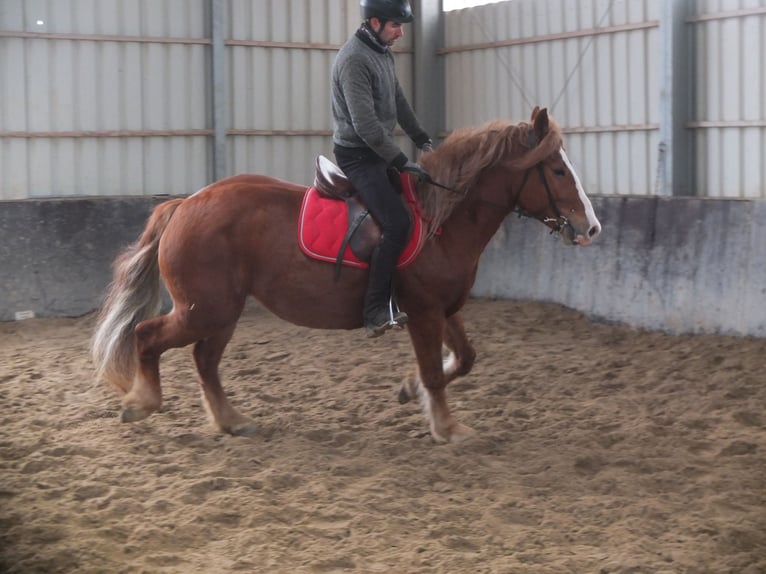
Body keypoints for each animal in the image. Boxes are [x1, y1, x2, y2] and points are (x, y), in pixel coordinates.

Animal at [93, 108, 604, 446]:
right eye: (557, 169)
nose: (591, 228)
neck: (440, 219)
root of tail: (186, 204)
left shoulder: (445, 308)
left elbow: (463, 359)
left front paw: (410, 389)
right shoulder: (423, 313)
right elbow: (436, 372)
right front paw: (447, 426)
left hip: (222, 313)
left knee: (204, 360)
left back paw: (231, 420)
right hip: (204, 310)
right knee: (148, 335)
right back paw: (141, 404)